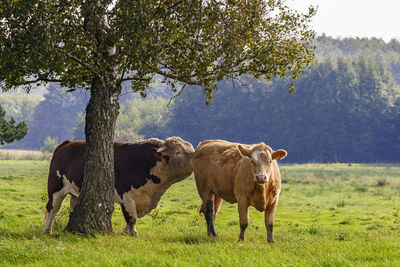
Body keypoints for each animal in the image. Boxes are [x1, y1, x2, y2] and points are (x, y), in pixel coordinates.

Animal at [43, 137, 194, 236]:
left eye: (191, 148)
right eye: (178, 152)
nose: (195, 156)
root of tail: (67, 143)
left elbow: (133, 218)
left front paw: (125, 232)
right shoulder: (126, 196)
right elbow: (131, 218)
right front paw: (132, 233)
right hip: (56, 188)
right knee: (52, 209)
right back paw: (47, 231)